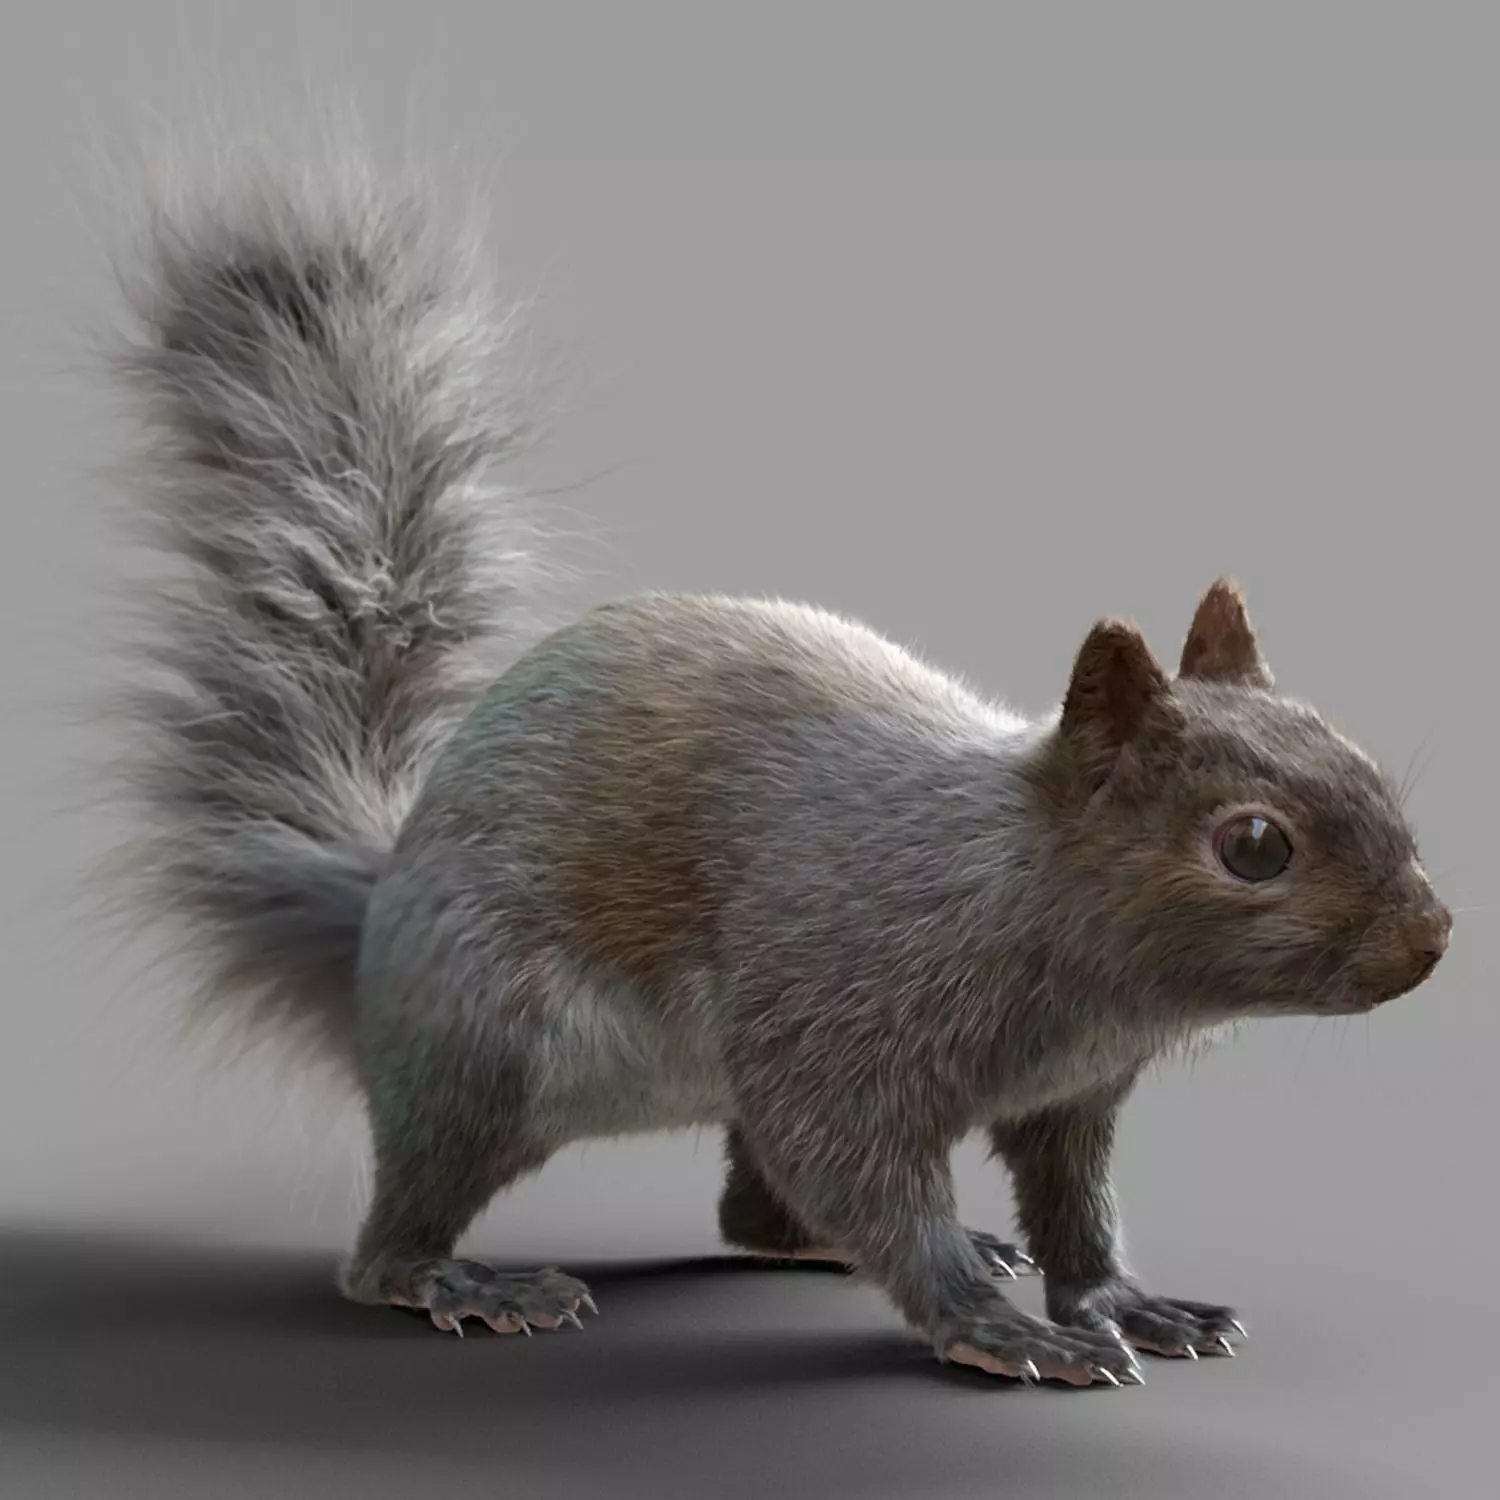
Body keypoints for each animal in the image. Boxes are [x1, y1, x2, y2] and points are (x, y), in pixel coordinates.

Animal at [101, 147, 1452, 1391]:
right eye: (1253, 845)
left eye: (1365, 761)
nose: (1433, 938)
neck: (1030, 900)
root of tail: (377, 914)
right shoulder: (839, 1009)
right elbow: (858, 1165)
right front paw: (998, 1329)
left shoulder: (1070, 1094)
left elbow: (1075, 1205)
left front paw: (1120, 1300)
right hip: (485, 1042)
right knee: (401, 1224)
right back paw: (462, 1279)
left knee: (749, 1208)